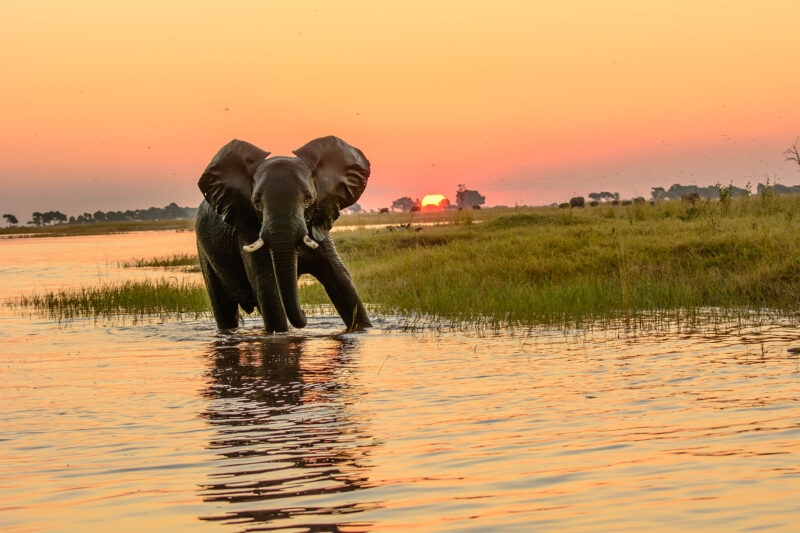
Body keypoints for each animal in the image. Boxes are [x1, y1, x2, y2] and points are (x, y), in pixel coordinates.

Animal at [195, 135, 372, 332]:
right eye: (257, 202)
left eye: (308, 199)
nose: (304, 313)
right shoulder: (248, 232)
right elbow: (268, 289)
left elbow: (342, 281)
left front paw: (363, 330)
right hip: (204, 253)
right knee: (223, 308)